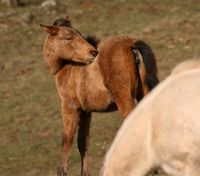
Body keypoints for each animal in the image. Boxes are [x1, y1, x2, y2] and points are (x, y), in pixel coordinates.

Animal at [40, 17, 159, 176]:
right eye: (68, 37)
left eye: (75, 35)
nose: (93, 52)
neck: (69, 68)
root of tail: (131, 44)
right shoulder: (85, 112)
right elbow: (82, 141)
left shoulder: (69, 107)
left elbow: (67, 140)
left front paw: (62, 171)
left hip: (125, 100)